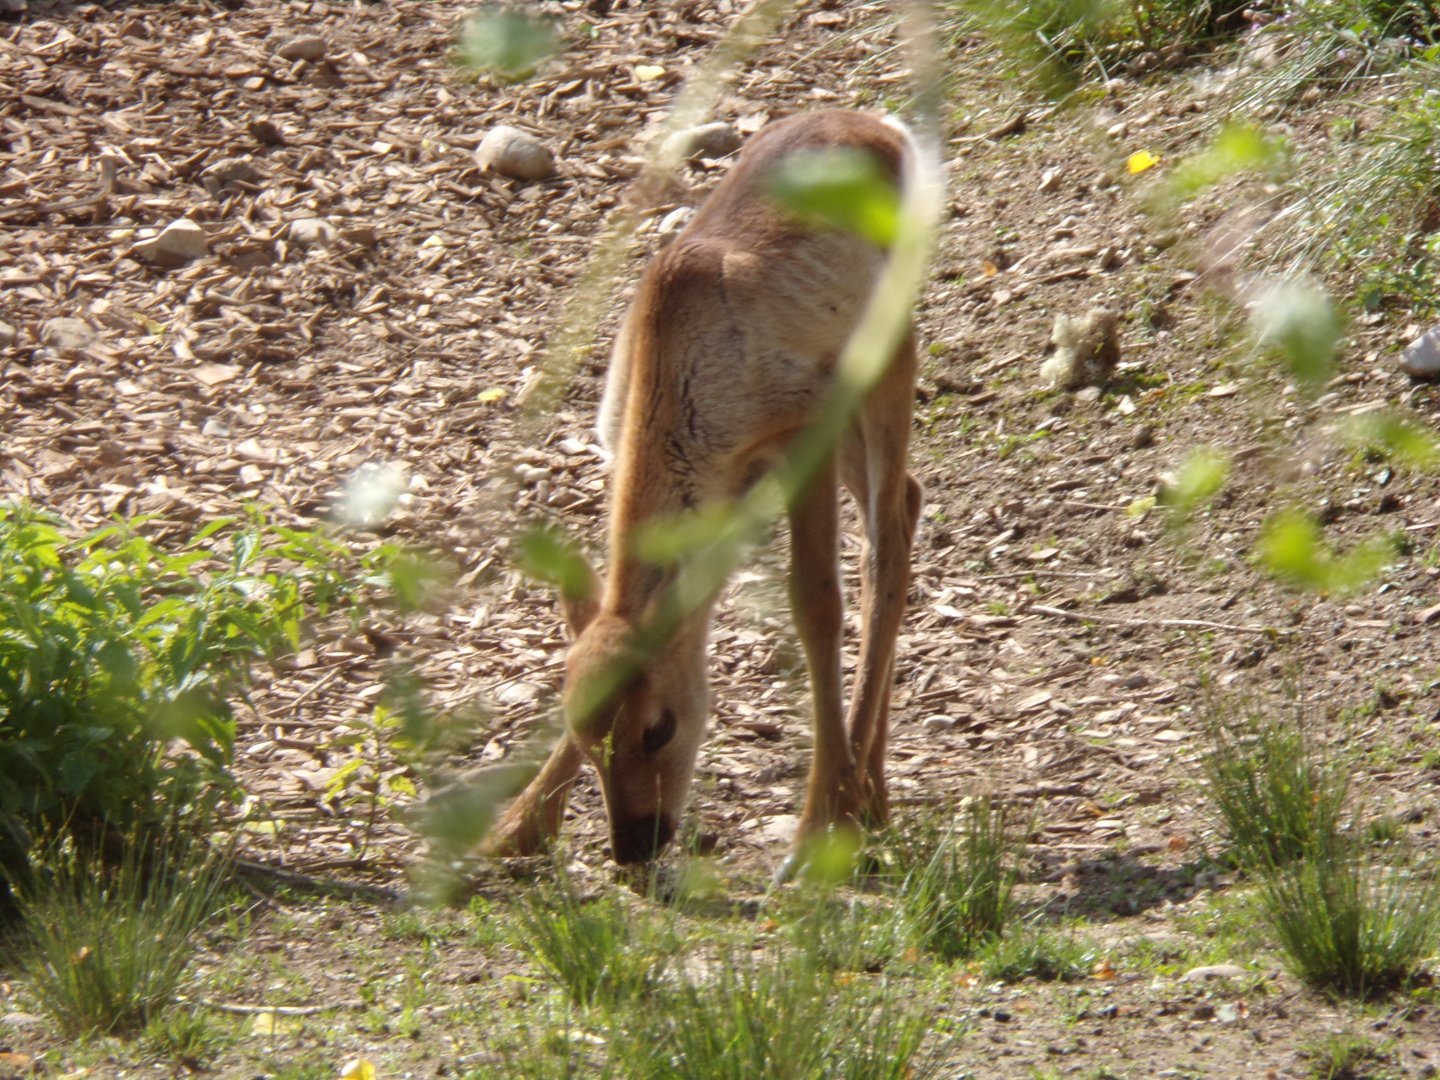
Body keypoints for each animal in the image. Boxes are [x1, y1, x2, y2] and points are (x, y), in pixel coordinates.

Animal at [481, 109, 937, 872]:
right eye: (584, 736)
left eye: (658, 729)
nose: (635, 845)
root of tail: (881, 124)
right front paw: (518, 825)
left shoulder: (798, 430)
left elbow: (815, 603)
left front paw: (818, 828)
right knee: (908, 495)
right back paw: (873, 791)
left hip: (887, 345)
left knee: (886, 544)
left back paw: (863, 796)